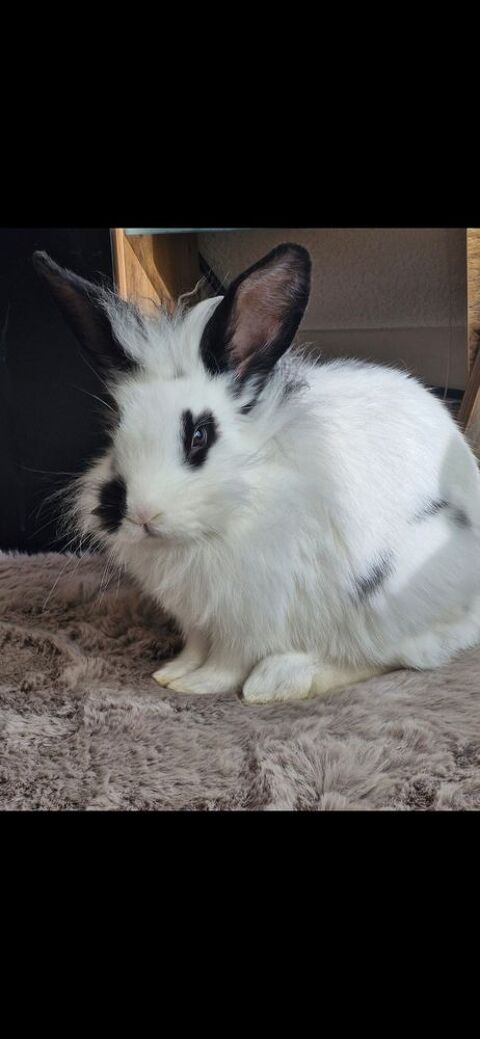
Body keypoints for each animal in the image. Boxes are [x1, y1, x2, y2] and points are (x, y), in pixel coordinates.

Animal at [33, 242, 480, 704]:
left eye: (199, 435)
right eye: (116, 428)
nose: (143, 516)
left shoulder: (252, 613)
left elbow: (230, 660)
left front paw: (198, 685)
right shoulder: (199, 616)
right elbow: (197, 646)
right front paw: (172, 673)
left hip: (391, 597)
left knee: (399, 655)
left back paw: (281, 680)